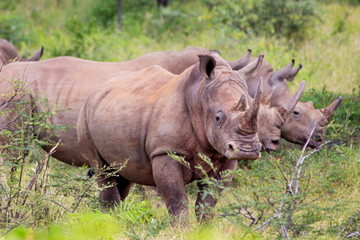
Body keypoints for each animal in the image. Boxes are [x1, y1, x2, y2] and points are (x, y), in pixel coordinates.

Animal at [76, 51, 262, 217]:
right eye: (217, 118)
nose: (247, 150)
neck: (198, 97)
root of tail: (97, 90)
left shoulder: (225, 155)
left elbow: (207, 203)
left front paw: (205, 230)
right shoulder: (165, 152)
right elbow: (177, 201)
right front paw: (182, 231)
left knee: (122, 174)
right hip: (84, 114)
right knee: (103, 171)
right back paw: (110, 222)